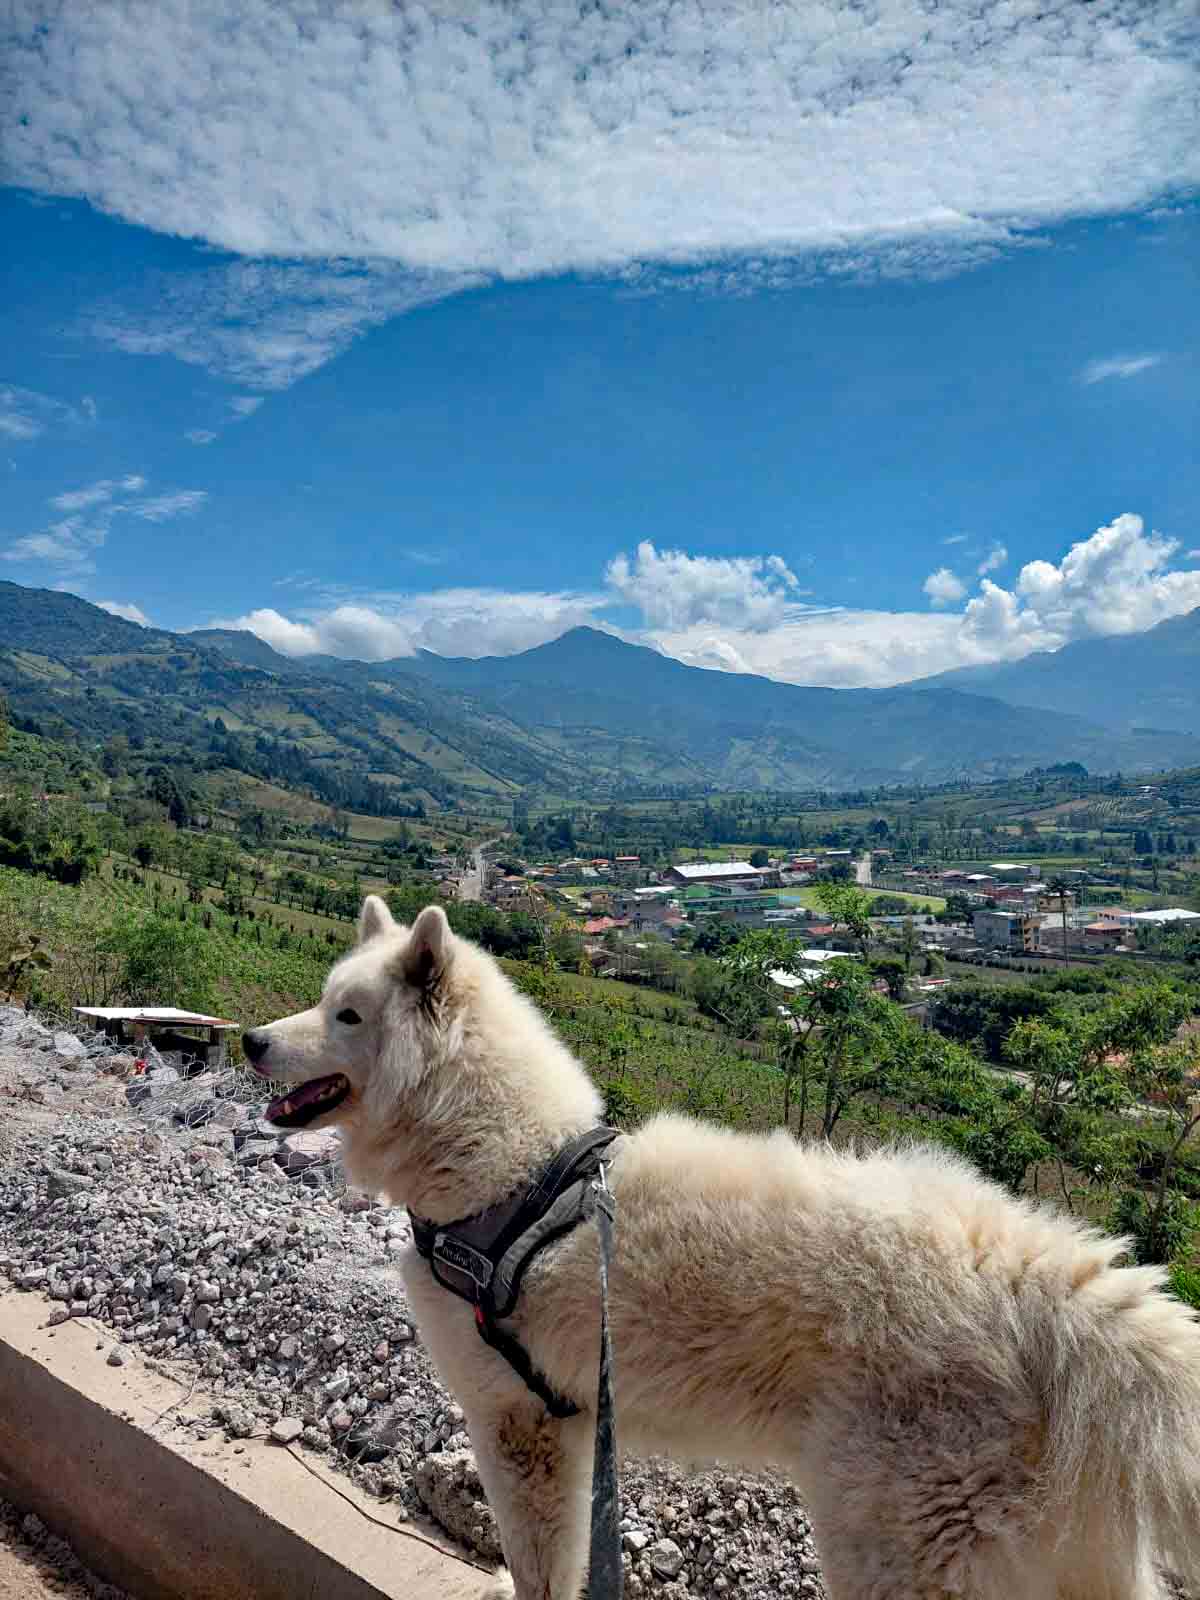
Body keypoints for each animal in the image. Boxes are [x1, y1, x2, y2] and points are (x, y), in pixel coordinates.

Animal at [244, 902, 1200, 1600]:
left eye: (347, 1015)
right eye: (321, 998)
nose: (251, 1040)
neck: (511, 1172)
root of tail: (1042, 1274)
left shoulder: (516, 1426)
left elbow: (535, 1568)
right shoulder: (574, 1425)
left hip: (893, 1540)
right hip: (1064, 1545)